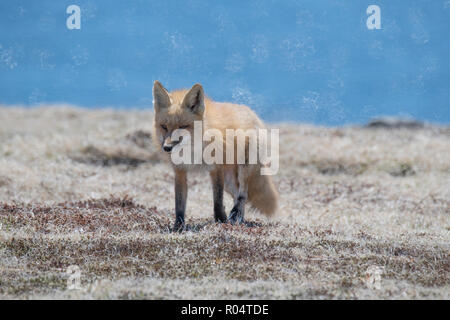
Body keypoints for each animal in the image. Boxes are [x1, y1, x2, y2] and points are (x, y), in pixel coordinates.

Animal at [152, 80, 278, 230]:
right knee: (238, 194)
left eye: (182, 126)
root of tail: (252, 112)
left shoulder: (216, 168)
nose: (167, 148)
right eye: (164, 126)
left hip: (242, 169)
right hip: (229, 181)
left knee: (243, 193)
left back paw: (235, 216)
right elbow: (179, 203)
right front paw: (178, 227)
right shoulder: (180, 171)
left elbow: (217, 201)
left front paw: (220, 221)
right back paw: (239, 220)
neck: (193, 150)